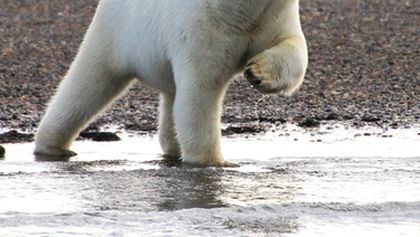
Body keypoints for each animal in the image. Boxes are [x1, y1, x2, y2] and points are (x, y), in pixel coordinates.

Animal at [33, 0, 308, 166]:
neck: (240, 11)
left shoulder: (273, 16)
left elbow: (295, 50)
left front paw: (257, 72)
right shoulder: (206, 25)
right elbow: (201, 91)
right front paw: (214, 162)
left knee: (171, 99)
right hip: (116, 34)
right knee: (87, 83)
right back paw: (53, 146)